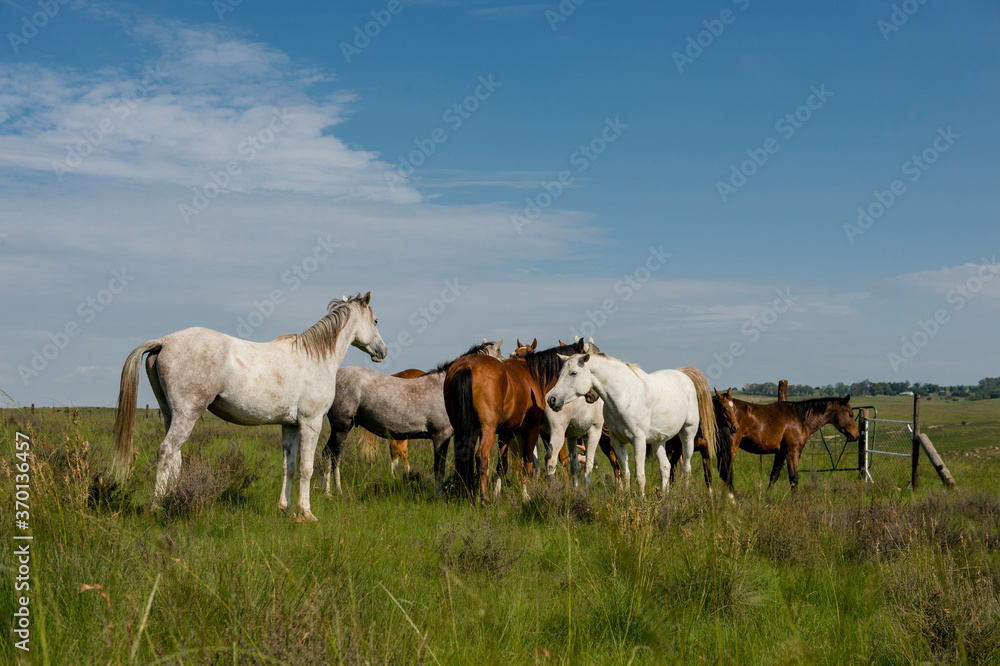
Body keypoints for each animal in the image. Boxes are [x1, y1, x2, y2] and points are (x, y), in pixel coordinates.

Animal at [111, 290, 386, 520]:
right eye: (375, 321)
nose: (382, 351)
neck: (317, 357)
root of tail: (165, 341)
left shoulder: (290, 426)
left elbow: (289, 466)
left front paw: (285, 509)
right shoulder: (311, 423)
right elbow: (306, 468)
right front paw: (306, 513)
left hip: (171, 415)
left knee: (175, 457)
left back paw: (173, 499)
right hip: (186, 415)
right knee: (167, 452)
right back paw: (157, 506)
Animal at [322, 338, 504, 492]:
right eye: (501, 361)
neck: (445, 387)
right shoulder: (441, 436)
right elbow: (439, 469)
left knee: (331, 455)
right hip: (341, 428)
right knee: (332, 456)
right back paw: (333, 491)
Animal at [444, 338, 584, 498]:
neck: (533, 374)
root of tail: (467, 365)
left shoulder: (507, 432)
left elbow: (502, 466)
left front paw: (497, 493)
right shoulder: (532, 430)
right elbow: (528, 463)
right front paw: (526, 495)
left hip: (467, 428)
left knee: (465, 455)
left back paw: (470, 494)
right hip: (488, 429)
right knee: (481, 456)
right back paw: (484, 498)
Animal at [548, 350, 720, 496]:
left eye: (574, 373)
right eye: (560, 373)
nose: (552, 400)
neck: (624, 396)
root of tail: (683, 375)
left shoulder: (638, 440)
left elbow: (639, 475)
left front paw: (641, 502)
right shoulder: (618, 441)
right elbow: (625, 473)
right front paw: (625, 498)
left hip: (688, 435)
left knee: (686, 468)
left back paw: (684, 496)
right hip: (659, 440)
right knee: (665, 467)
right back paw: (665, 498)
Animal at [720, 392, 860, 490]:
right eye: (850, 414)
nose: (857, 435)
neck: (800, 418)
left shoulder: (781, 453)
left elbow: (773, 477)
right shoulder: (792, 452)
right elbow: (794, 479)